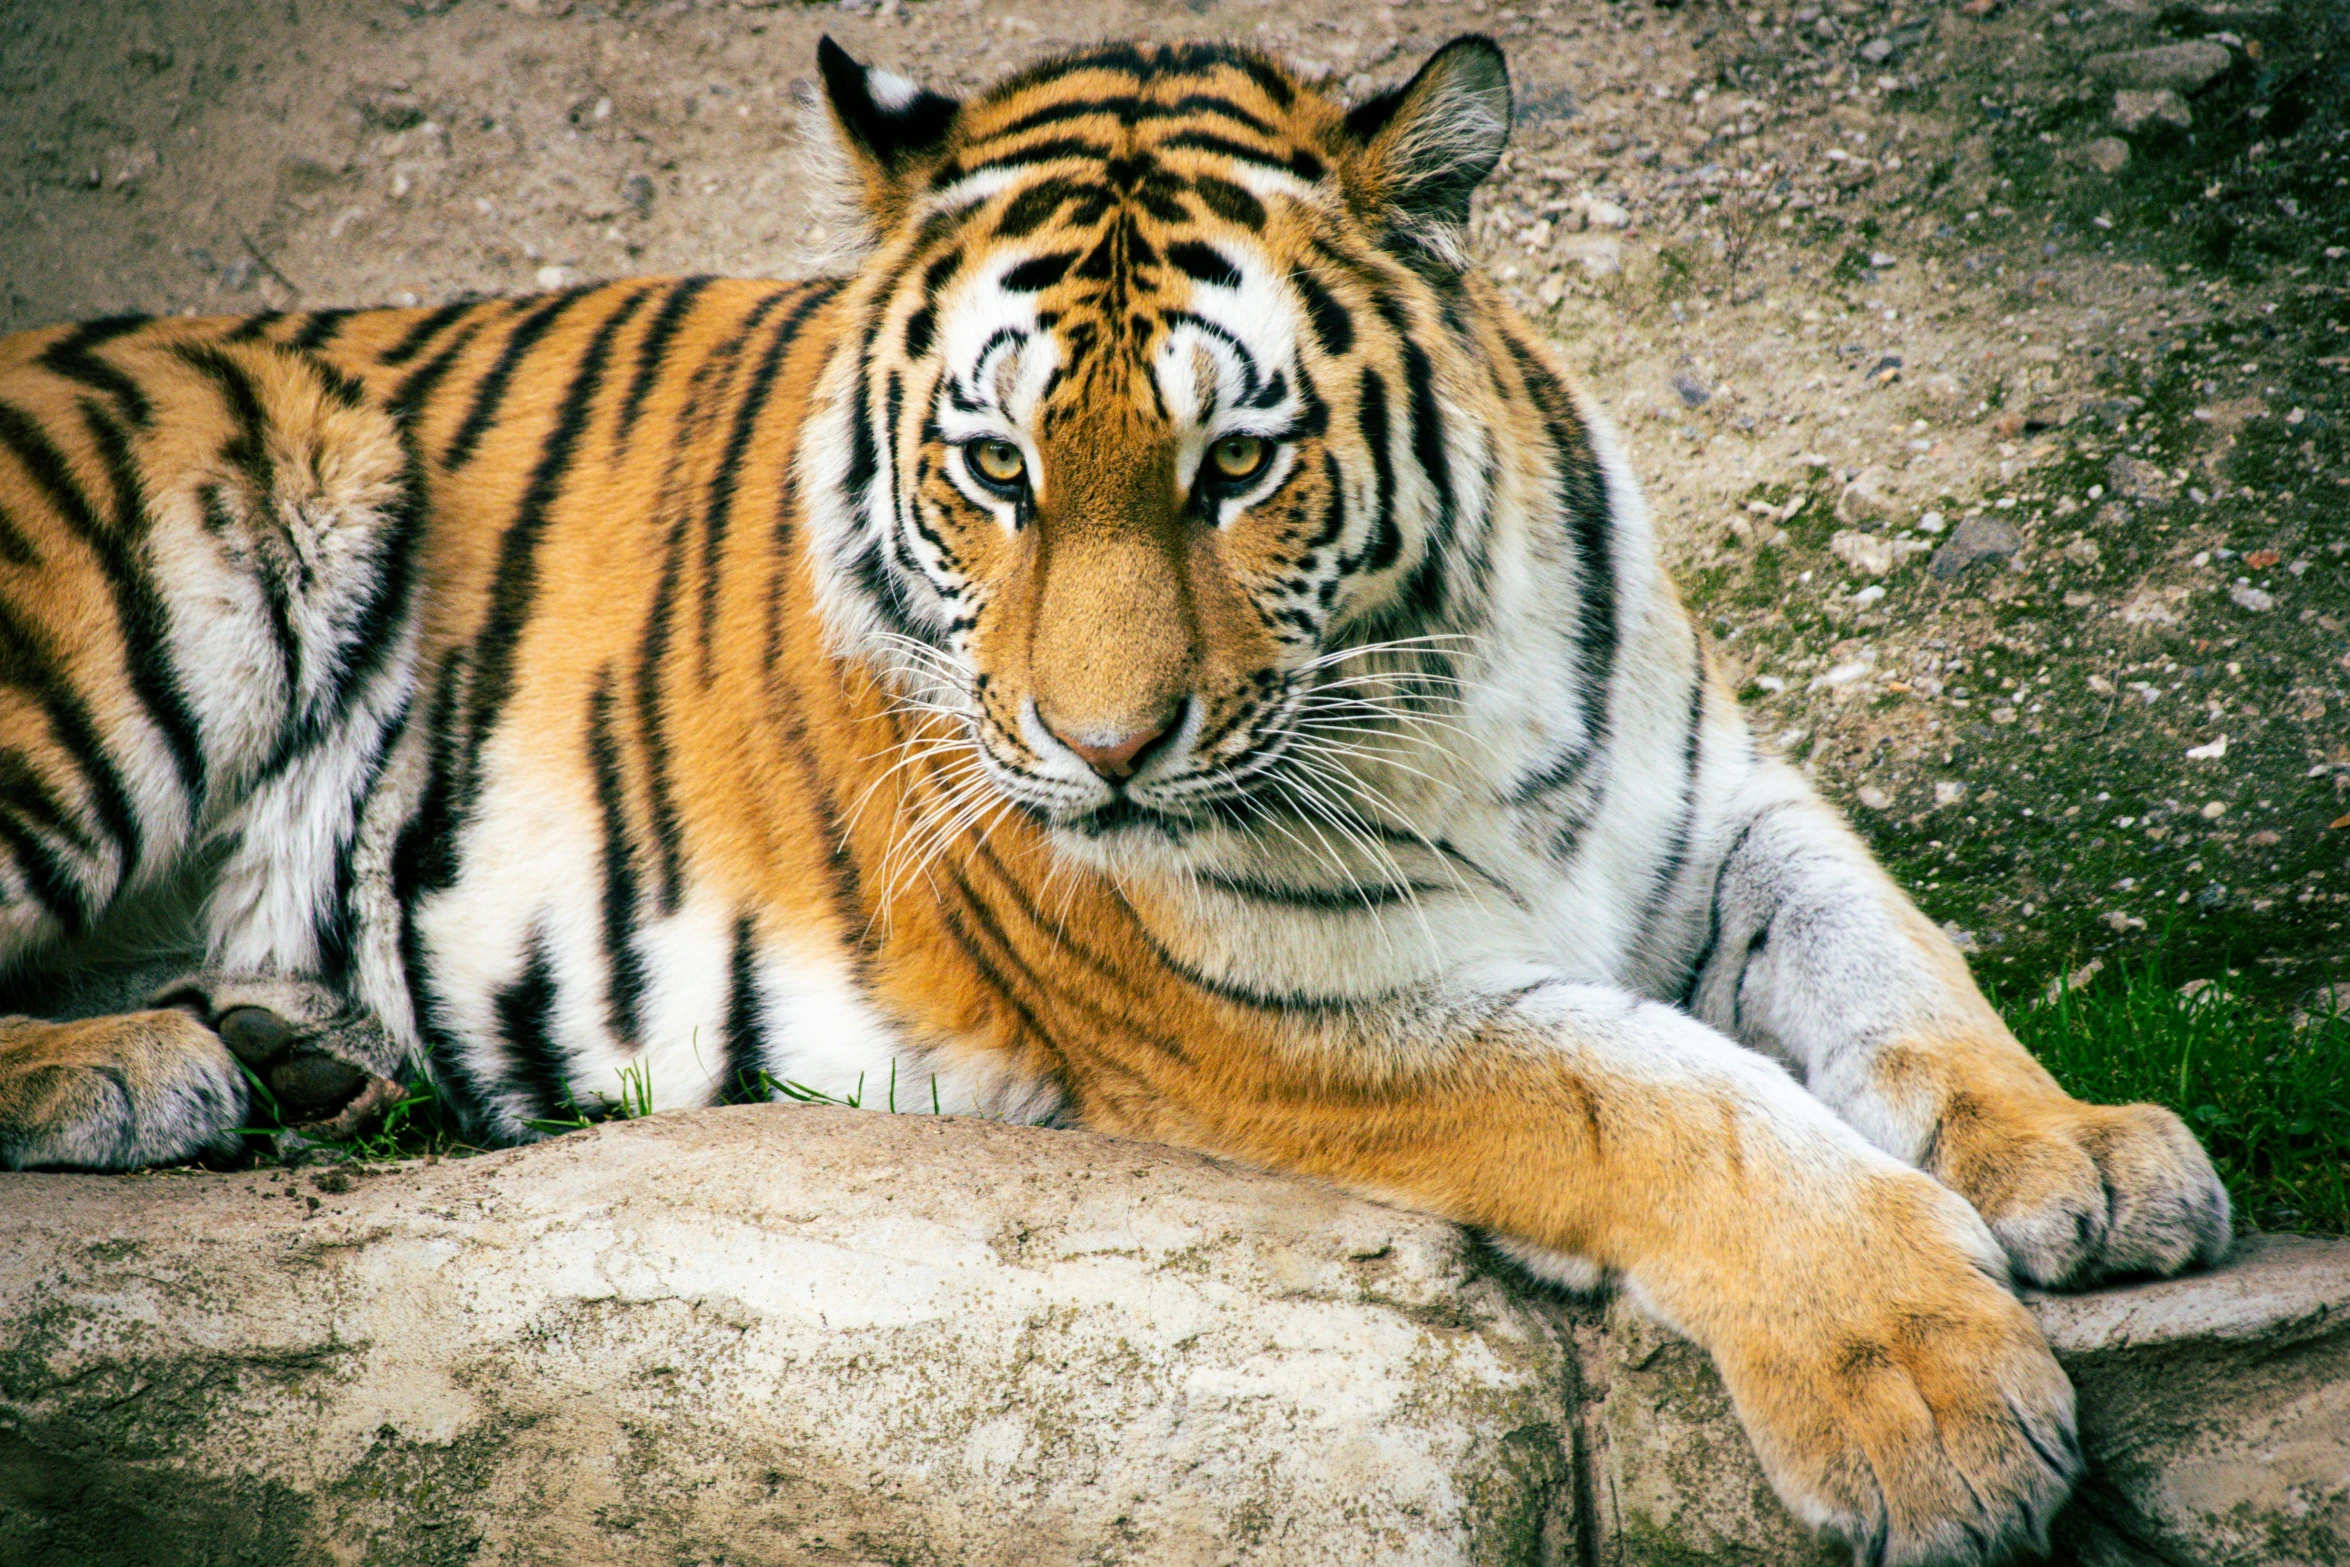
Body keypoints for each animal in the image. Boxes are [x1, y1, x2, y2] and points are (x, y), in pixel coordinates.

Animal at [0, 33, 2218, 1567]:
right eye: (993, 471)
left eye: (1236, 468)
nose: (1101, 749)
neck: (1438, 681)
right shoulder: (1296, 1006)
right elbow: (1672, 1105)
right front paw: (1933, 1403)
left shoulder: (1718, 805)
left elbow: (1895, 965)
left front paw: (2088, 1158)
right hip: (167, 560)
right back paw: (144, 1071)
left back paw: (288, 1046)